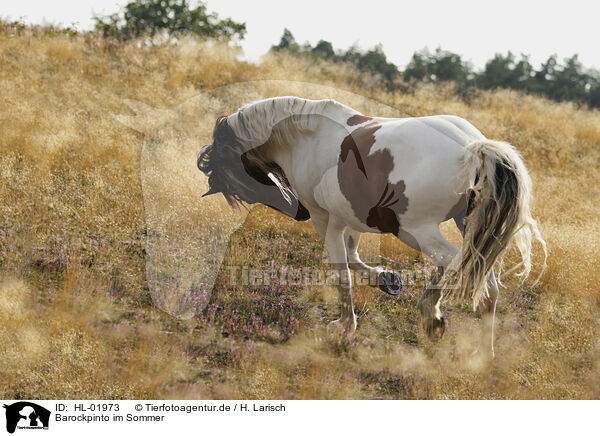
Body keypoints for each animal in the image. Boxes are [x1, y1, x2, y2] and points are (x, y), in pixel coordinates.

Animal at [199, 95, 548, 354]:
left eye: (237, 178)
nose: (297, 213)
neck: (308, 135)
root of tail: (473, 147)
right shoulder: (350, 216)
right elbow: (354, 259)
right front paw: (386, 280)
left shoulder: (326, 219)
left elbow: (342, 274)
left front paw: (345, 326)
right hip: (465, 226)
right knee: (486, 283)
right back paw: (480, 353)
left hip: (413, 230)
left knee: (453, 263)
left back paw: (433, 315)